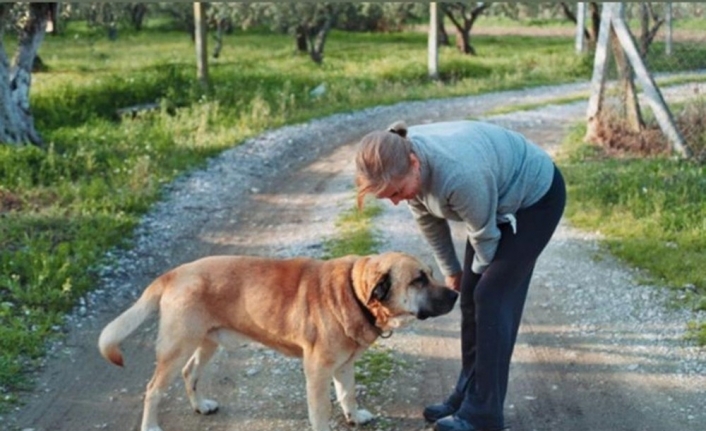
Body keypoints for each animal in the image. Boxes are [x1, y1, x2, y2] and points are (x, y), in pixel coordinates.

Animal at [96, 251, 456, 431]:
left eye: (430, 273)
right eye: (419, 280)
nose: (455, 293)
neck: (354, 293)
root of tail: (174, 273)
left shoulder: (344, 366)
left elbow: (348, 394)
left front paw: (354, 416)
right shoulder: (318, 371)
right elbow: (320, 411)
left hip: (207, 342)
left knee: (190, 374)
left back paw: (200, 406)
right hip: (176, 348)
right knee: (153, 390)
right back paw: (151, 426)